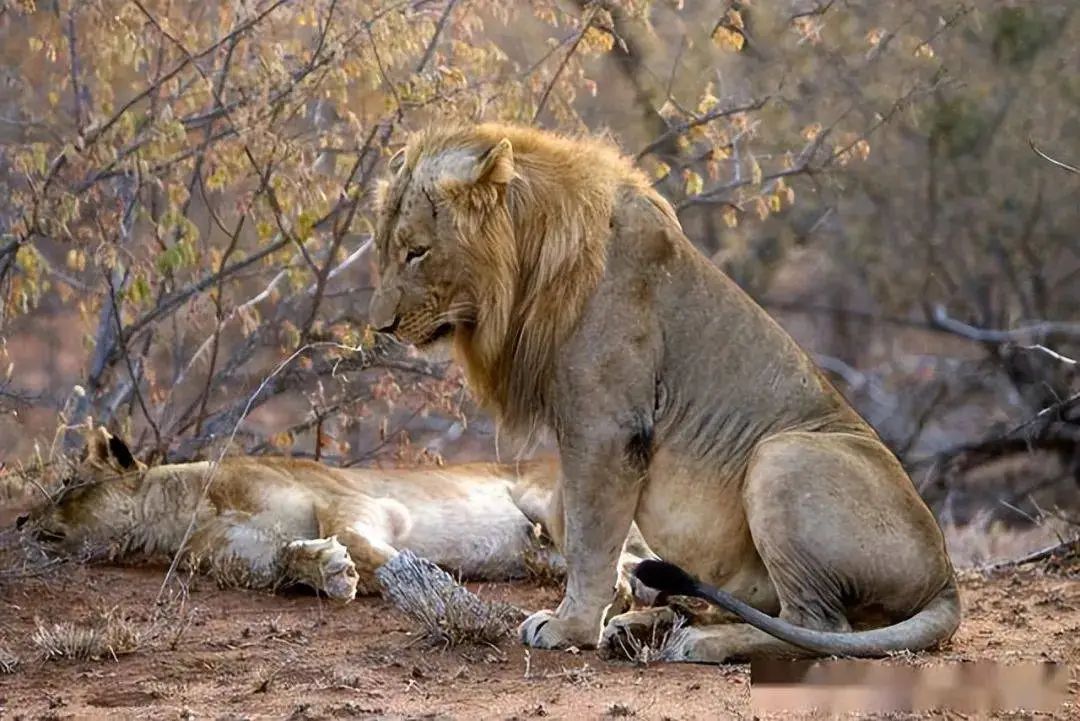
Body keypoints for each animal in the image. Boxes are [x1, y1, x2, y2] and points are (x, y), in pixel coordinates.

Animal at [21, 425, 652, 600]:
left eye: (68, 484)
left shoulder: (352, 498)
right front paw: (327, 569)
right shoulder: (246, 560)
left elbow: (364, 542)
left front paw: (412, 578)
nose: (22, 522)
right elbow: (284, 558)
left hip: (558, 500)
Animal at [367, 120, 959, 660]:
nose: (380, 326)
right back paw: (646, 625)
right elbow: (566, 516)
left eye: (417, 251)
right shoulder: (586, 429)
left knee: (819, 627)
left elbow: (589, 536)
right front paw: (608, 606)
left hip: (784, 454)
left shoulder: (606, 426)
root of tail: (948, 579)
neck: (529, 266)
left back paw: (698, 640)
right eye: (384, 248)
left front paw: (570, 627)